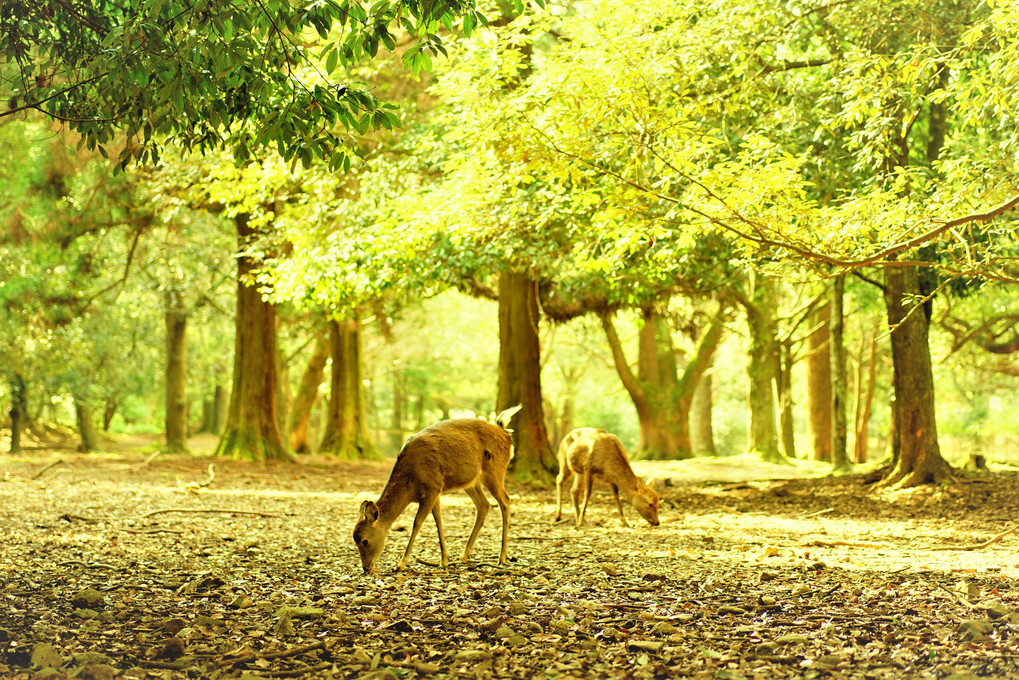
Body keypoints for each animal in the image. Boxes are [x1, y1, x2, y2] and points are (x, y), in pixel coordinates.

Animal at [354, 407, 521, 570]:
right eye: (355, 540)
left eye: (364, 541)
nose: (366, 568)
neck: (410, 486)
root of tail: (506, 433)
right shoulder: (436, 491)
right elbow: (438, 520)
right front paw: (444, 560)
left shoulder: (431, 488)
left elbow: (417, 522)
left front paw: (402, 563)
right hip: (471, 482)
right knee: (484, 504)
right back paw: (464, 556)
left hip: (495, 470)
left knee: (505, 500)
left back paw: (502, 557)